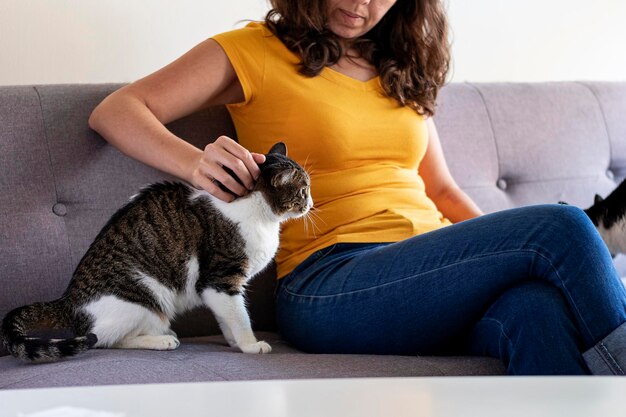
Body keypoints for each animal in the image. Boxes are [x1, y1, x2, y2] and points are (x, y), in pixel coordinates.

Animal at [0, 141, 312, 360]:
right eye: (303, 190)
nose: (311, 203)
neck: (258, 212)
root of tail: (67, 301)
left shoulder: (219, 289)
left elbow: (227, 318)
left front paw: (235, 341)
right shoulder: (220, 280)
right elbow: (239, 315)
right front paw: (250, 344)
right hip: (145, 296)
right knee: (102, 339)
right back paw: (162, 339)